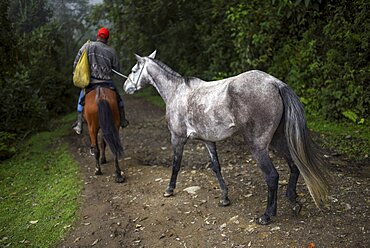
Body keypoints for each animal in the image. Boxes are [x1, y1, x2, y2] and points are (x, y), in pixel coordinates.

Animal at [124, 50, 330, 225]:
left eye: (134, 70)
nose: (126, 87)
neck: (177, 92)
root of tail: (275, 83)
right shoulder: (208, 141)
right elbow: (216, 167)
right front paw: (224, 198)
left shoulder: (177, 138)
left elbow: (176, 165)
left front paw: (169, 190)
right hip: (277, 141)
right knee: (294, 166)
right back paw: (294, 202)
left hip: (259, 147)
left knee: (272, 176)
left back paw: (266, 215)